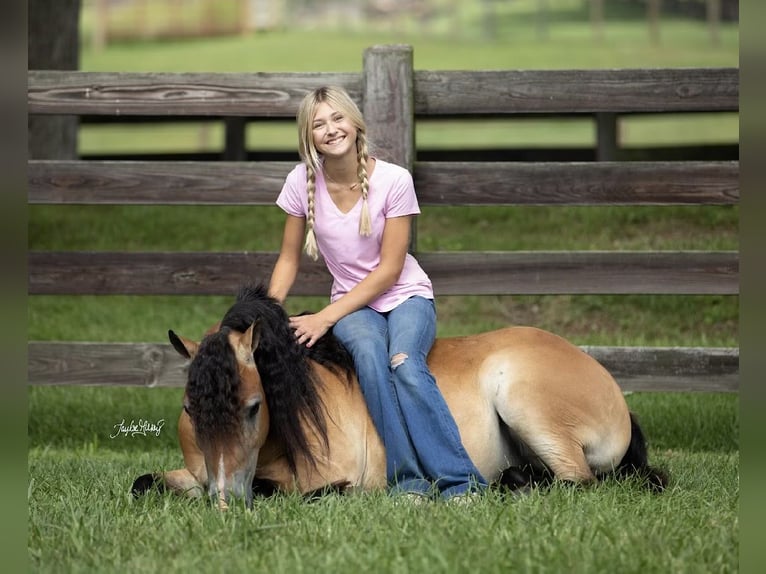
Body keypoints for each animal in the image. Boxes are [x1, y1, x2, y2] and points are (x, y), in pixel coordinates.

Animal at [131, 284, 667, 509]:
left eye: (253, 407)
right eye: (189, 409)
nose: (225, 501)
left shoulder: (335, 479)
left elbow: (291, 491)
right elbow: (144, 482)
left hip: (527, 406)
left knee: (576, 482)